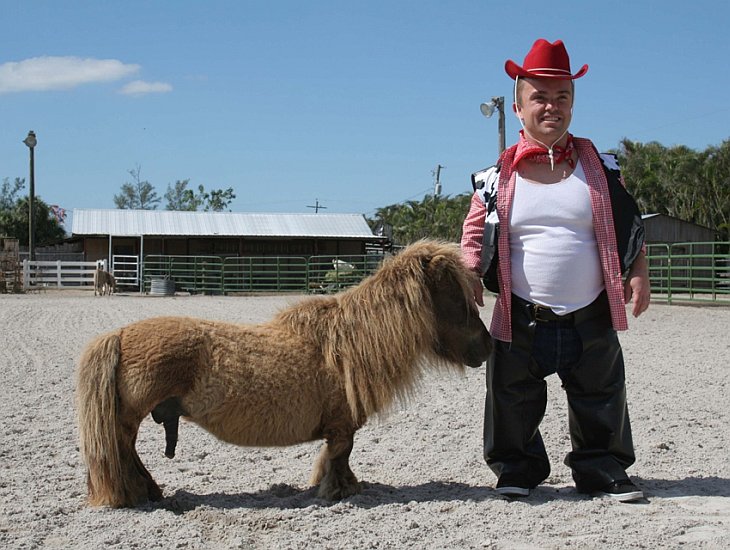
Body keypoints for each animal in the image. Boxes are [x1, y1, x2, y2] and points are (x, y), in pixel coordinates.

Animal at [75, 240, 490, 508]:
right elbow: (340, 458)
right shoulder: (342, 427)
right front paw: (340, 491)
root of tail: (119, 334)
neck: (350, 343)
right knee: (123, 452)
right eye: (456, 298)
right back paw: (138, 494)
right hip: (129, 419)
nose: (486, 346)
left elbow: (333, 458)